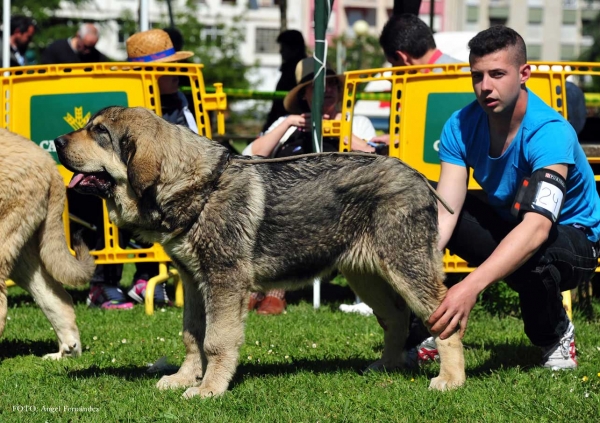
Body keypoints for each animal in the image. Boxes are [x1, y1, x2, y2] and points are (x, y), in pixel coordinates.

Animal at [55, 107, 468, 400]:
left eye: (100, 133)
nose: (56, 141)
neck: (195, 186)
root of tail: (417, 176)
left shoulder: (224, 282)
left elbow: (215, 340)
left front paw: (209, 389)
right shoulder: (194, 282)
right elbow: (191, 335)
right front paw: (184, 378)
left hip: (406, 267)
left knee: (444, 320)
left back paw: (451, 379)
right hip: (365, 276)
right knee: (396, 318)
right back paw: (386, 367)